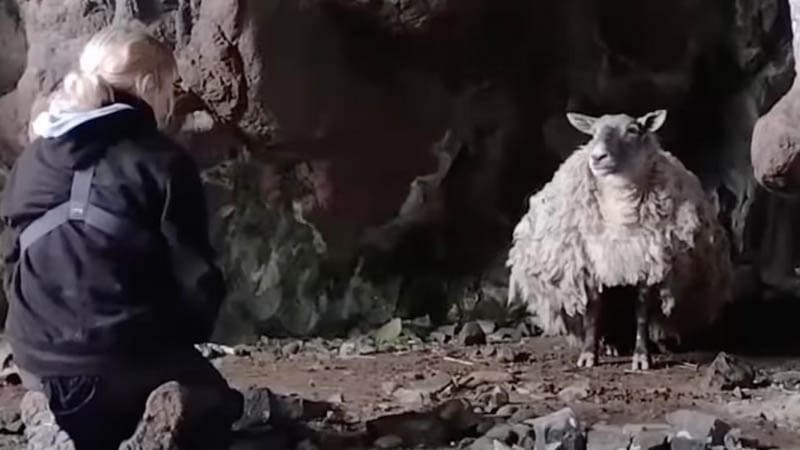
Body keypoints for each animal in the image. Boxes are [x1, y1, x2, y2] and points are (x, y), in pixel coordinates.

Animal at [507, 109, 733, 371]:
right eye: (593, 132)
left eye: (633, 130)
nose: (597, 157)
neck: (620, 216)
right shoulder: (591, 265)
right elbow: (593, 313)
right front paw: (588, 355)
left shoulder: (648, 265)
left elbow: (642, 313)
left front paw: (642, 356)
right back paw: (610, 345)